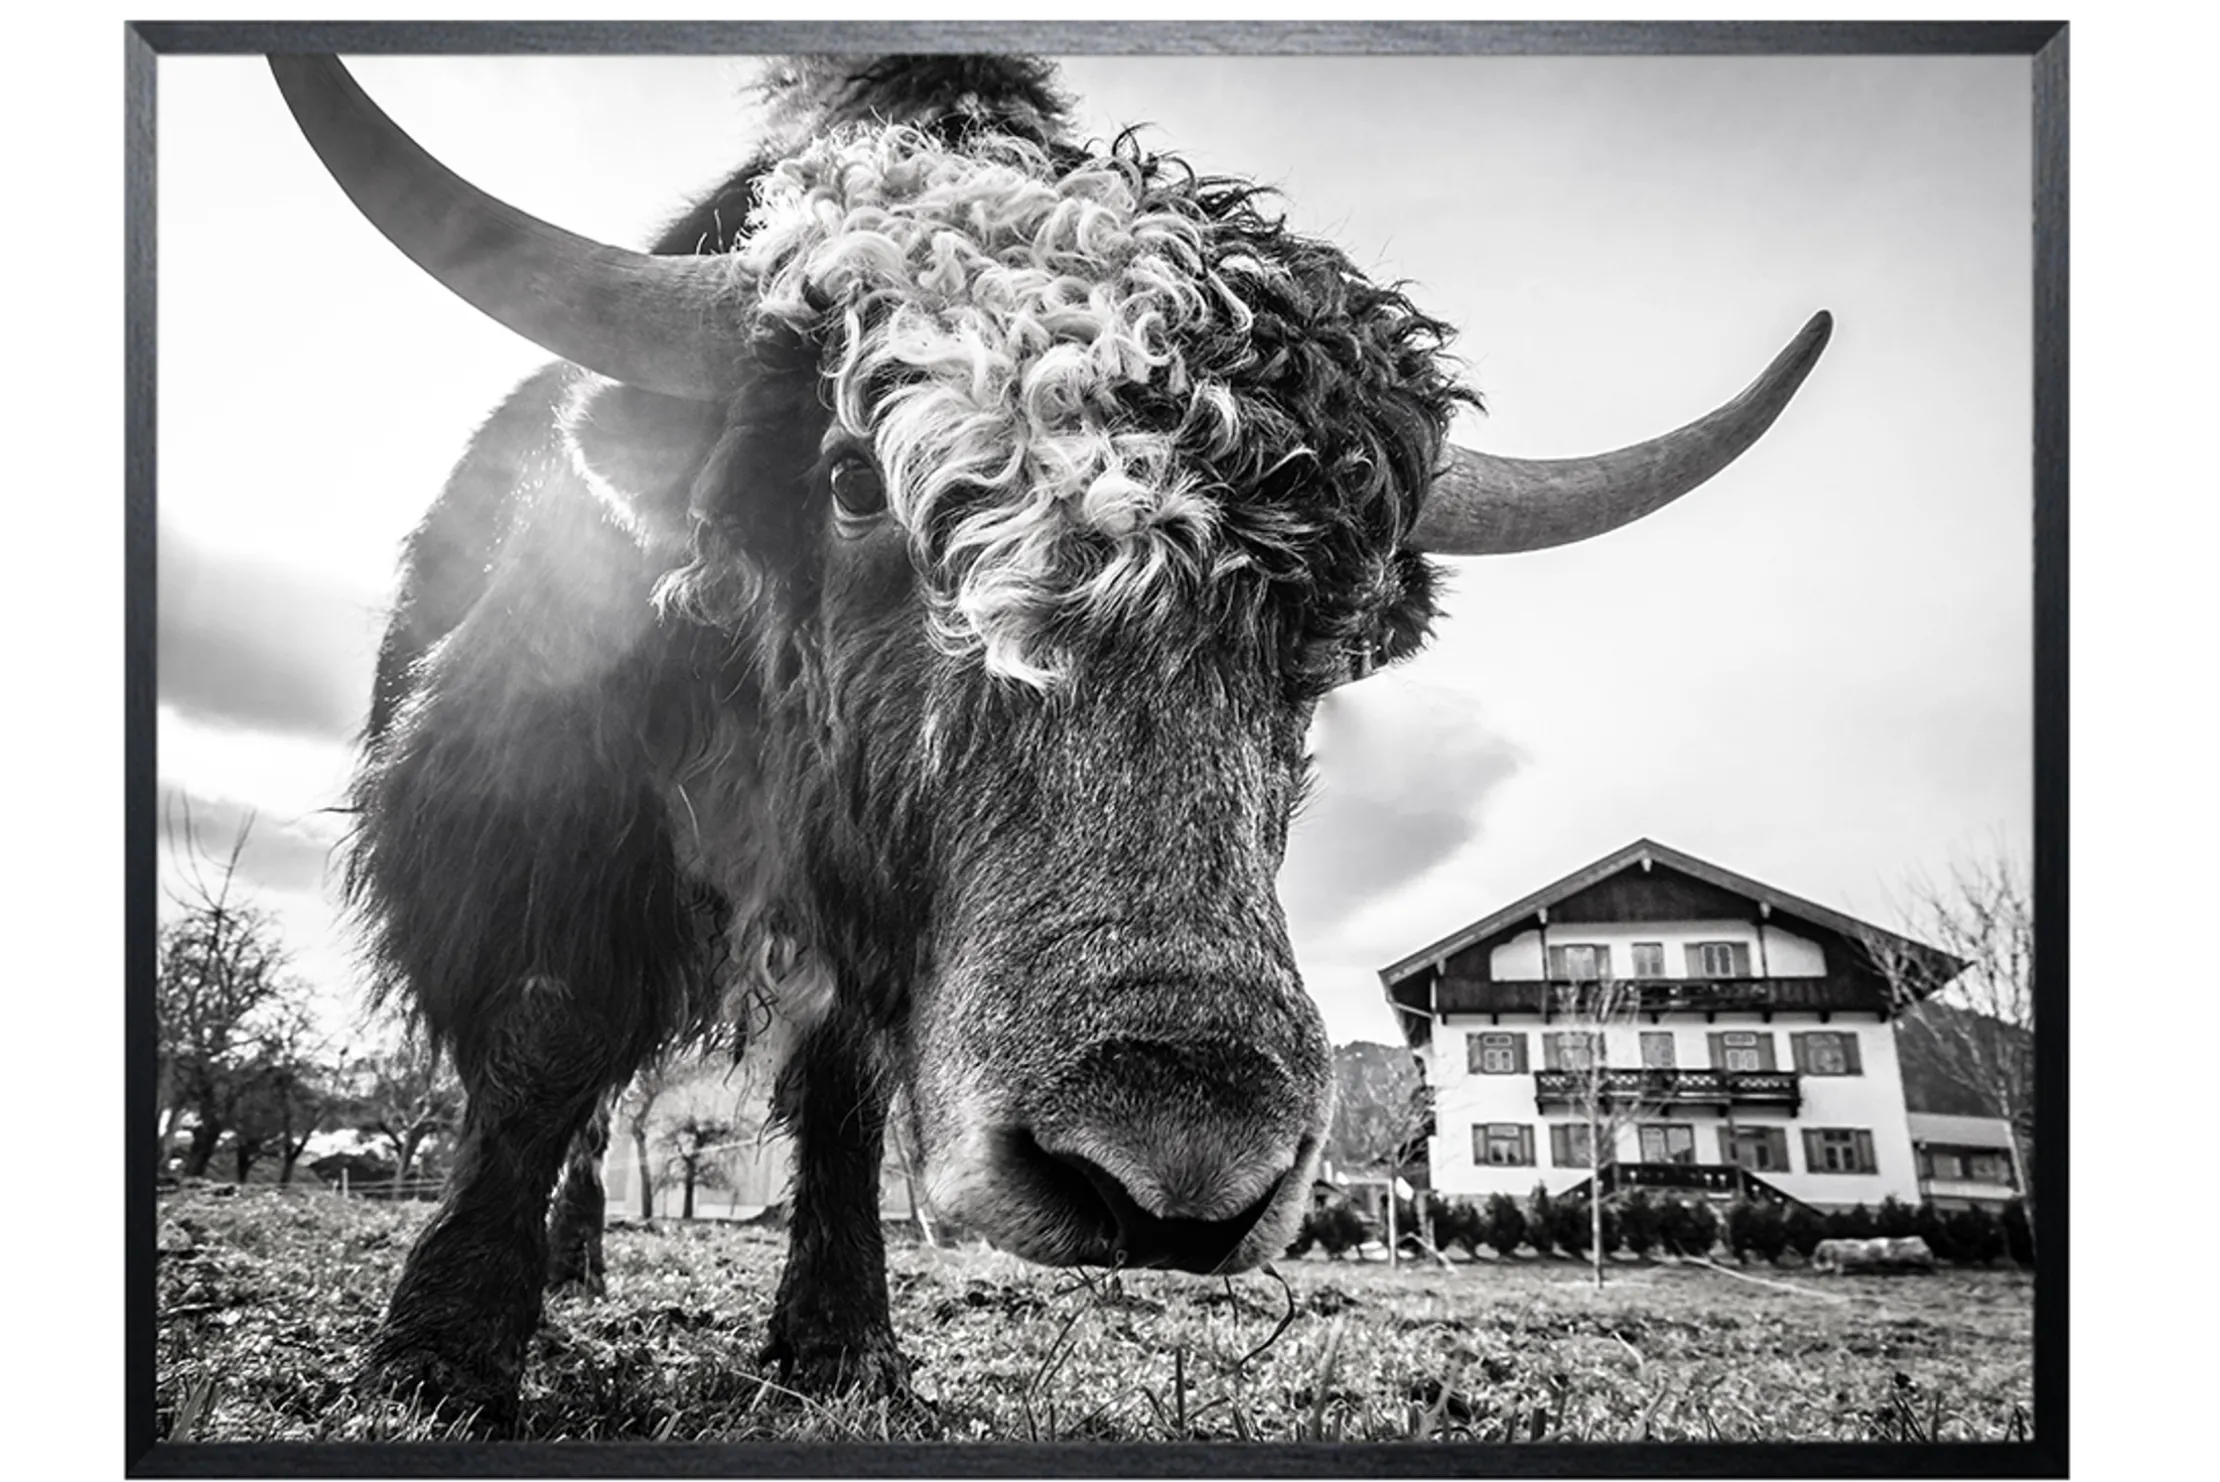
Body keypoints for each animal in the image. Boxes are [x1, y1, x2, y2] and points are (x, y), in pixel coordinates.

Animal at [270, 54, 1831, 1429]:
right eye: (851, 483)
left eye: (1333, 621)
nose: (1176, 1170)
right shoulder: (542, 807)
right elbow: (549, 1036)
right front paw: (438, 1355)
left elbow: (844, 1091)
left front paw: (844, 1353)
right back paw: (575, 1261)